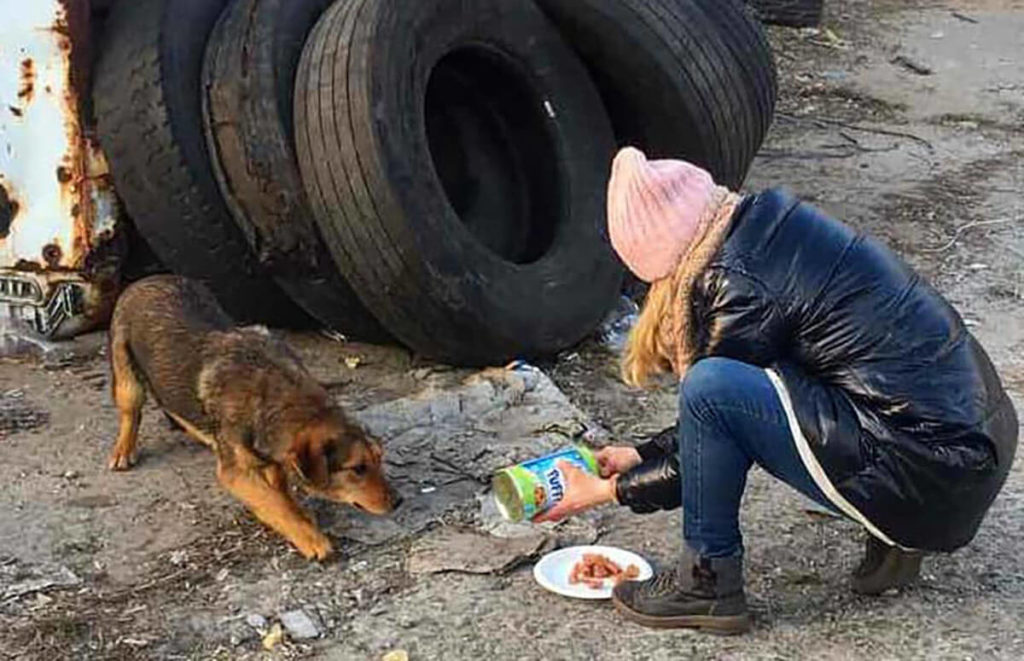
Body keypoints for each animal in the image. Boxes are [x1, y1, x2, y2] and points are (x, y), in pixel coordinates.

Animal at [108, 274, 399, 560]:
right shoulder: (235, 473)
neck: (278, 396)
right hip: (126, 376)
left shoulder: (273, 456)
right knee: (131, 413)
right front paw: (311, 538)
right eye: (357, 469)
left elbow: (280, 490)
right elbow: (273, 501)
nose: (399, 501)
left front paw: (300, 515)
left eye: (379, 458)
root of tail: (147, 278)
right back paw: (123, 450)